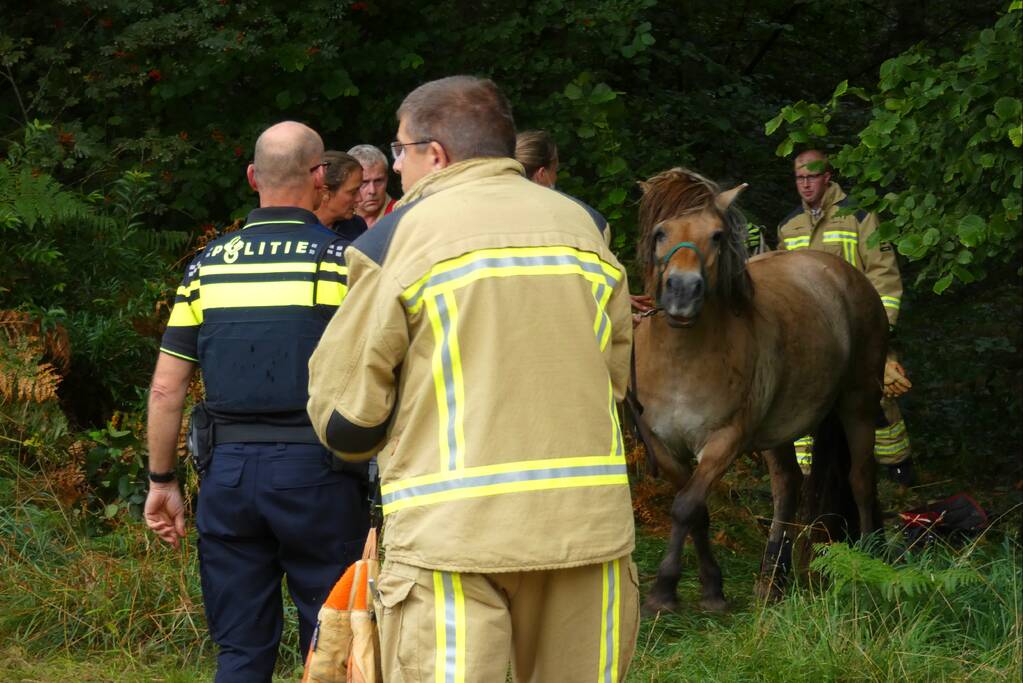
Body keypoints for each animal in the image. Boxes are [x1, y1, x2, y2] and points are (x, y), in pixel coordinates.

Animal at [630, 168, 886, 613]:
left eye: (717, 235)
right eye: (661, 232)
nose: (683, 291)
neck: (681, 360)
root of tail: (843, 272)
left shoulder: (725, 440)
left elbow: (685, 507)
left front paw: (663, 591)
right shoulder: (663, 445)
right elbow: (695, 509)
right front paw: (711, 588)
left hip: (858, 404)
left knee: (860, 479)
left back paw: (865, 564)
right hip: (779, 429)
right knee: (787, 485)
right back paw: (771, 581)